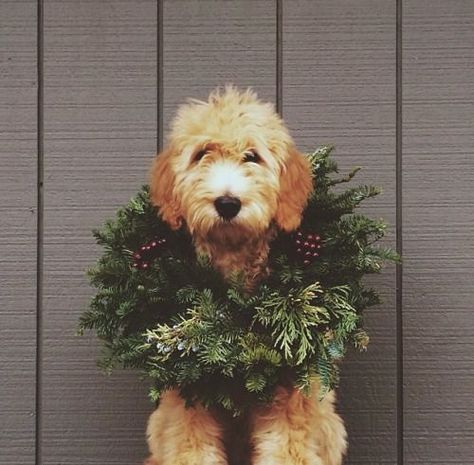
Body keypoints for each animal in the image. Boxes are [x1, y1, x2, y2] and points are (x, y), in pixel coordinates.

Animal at [146, 86, 346, 464]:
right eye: (201, 154)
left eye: (252, 156)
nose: (227, 203)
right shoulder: (188, 394)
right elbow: (191, 449)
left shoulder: (290, 394)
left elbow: (287, 451)